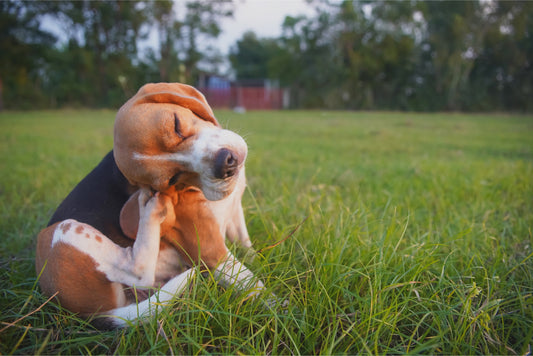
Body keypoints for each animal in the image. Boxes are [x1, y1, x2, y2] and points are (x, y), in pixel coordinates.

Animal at [34, 82, 264, 328]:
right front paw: (279, 310)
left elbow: (246, 246)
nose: (226, 165)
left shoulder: (235, 213)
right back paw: (150, 210)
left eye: (176, 125)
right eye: (172, 179)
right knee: (138, 271)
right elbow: (258, 287)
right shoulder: (212, 252)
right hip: (62, 232)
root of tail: (93, 314)